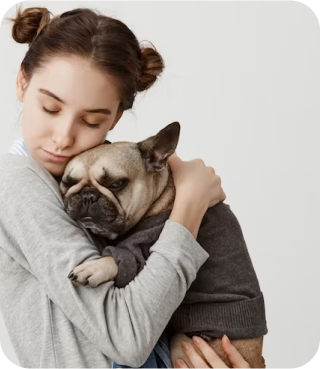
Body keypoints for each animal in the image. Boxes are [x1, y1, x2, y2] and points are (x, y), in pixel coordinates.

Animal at [60, 122, 264, 366]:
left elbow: (120, 258)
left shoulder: (145, 253)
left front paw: (94, 267)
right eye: (67, 183)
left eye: (117, 184)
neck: (162, 197)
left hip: (184, 344)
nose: (87, 196)